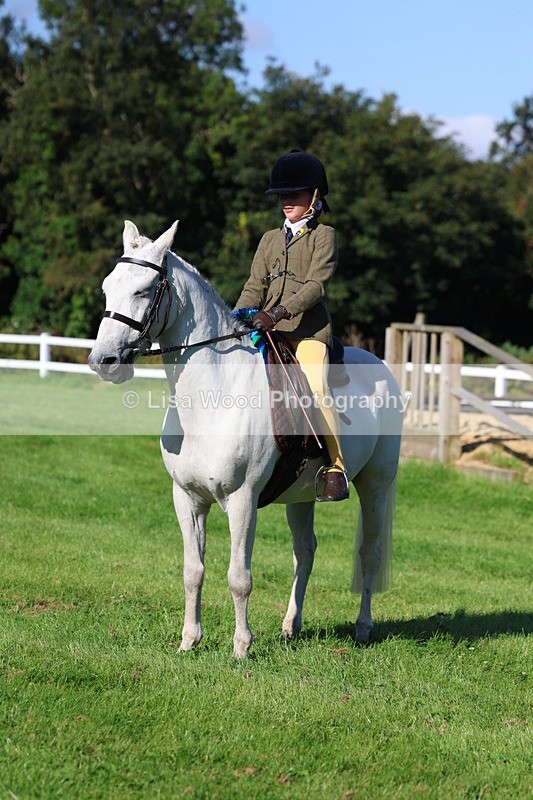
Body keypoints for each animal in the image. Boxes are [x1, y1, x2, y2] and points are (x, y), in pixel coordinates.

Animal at [88, 220, 403, 658]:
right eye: (107, 287)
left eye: (144, 290)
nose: (104, 362)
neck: (213, 395)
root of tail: (382, 367)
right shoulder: (187, 498)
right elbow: (193, 571)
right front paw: (189, 640)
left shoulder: (242, 500)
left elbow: (239, 577)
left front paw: (241, 647)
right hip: (301, 496)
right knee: (305, 553)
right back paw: (291, 627)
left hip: (376, 484)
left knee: (369, 553)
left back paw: (363, 627)